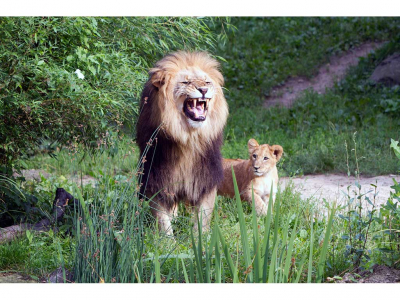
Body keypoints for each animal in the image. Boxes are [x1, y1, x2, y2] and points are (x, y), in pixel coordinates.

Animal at [136, 51, 228, 234]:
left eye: (207, 82)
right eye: (186, 82)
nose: (204, 90)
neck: (188, 138)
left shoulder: (206, 178)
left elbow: (203, 218)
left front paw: (200, 238)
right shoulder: (156, 179)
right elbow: (163, 221)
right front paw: (168, 240)